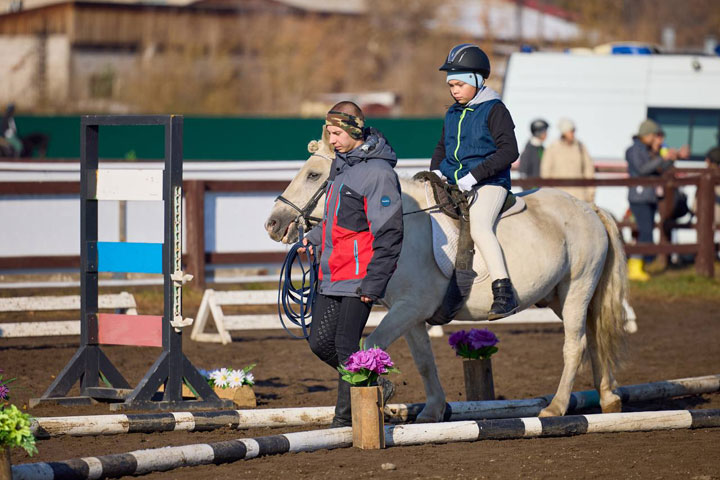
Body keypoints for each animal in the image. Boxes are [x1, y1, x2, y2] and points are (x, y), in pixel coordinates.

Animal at [264, 129, 624, 422]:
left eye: (313, 175)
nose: (273, 223)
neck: (402, 223)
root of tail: (590, 209)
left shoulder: (409, 308)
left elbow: (371, 345)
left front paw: (383, 392)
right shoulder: (410, 314)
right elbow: (424, 361)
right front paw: (433, 410)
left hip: (577, 288)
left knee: (575, 345)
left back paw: (556, 407)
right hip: (561, 296)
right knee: (594, 337)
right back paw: (608, 398)